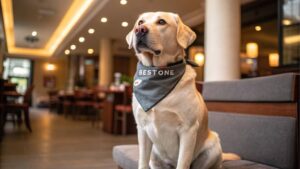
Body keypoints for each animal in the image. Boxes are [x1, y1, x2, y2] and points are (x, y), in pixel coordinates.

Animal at [125, 11, 238, 168]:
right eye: (140, 22)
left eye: (161, 22)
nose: (139, 30)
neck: (159, 72)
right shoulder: (142, 128)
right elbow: (142, 162)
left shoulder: (188, 130)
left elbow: (183, 163)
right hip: (154, 154)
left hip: (213, 145)